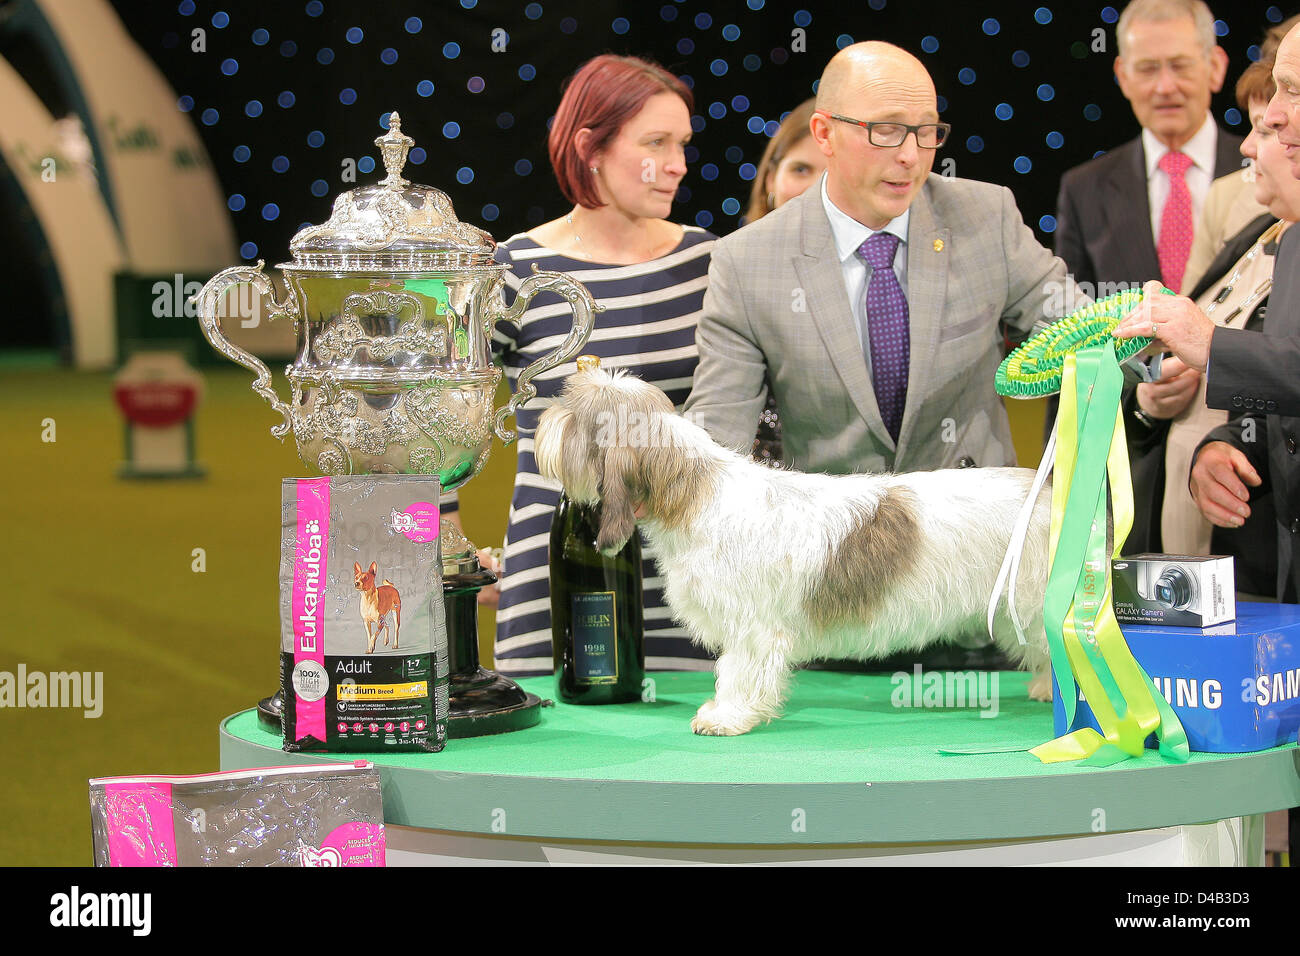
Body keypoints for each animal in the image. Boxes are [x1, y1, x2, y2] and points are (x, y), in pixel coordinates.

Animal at [533, 364, 1050, 733]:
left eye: (572, 415)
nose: (540, 422)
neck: (696, 495)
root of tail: (1044, 487)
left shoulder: (751, 626)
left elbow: (738, 670)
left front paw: (728, 716)